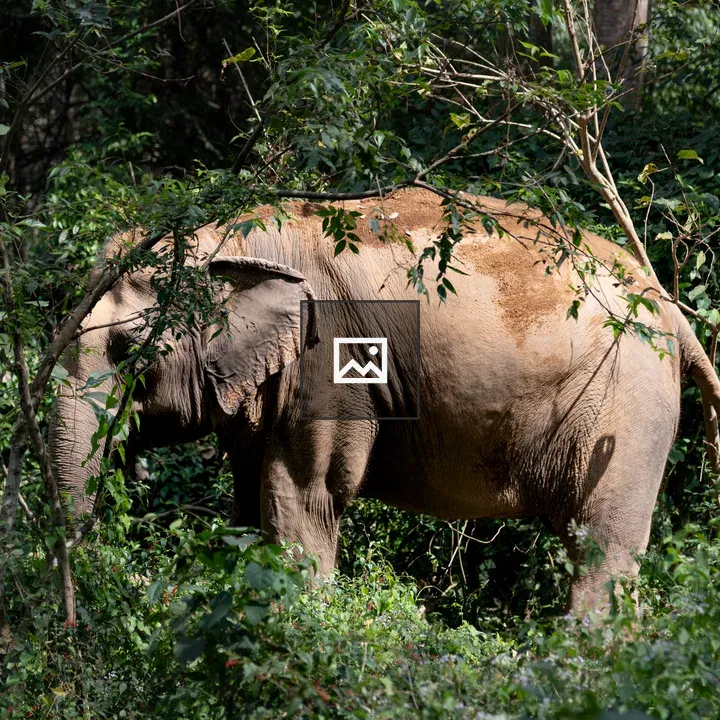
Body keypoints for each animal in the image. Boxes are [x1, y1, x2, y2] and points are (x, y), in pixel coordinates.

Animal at [48, 187, 720, 614]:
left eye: (130, 350)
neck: (235, 236)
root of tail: (673, 312)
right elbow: (247, 503)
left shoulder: (326, 358)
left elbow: (302, 497)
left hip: (625, 408)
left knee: (601, 547)